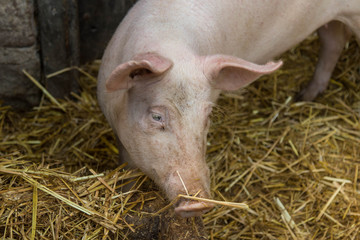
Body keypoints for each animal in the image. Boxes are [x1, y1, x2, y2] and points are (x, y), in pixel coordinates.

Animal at [97, 0, 358, 218]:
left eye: (207, 116)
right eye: (157, 116)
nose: (198, 203)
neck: (170, 40)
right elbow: (128, 169)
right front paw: (124, 193)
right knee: (334, 39)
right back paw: (305, 96)